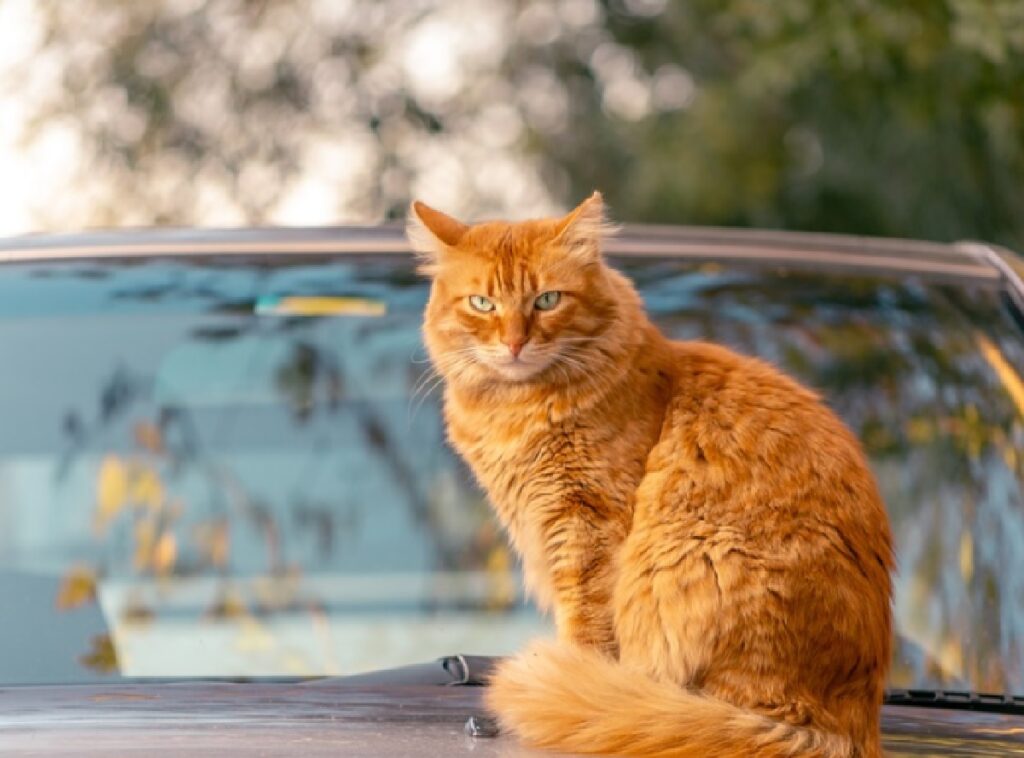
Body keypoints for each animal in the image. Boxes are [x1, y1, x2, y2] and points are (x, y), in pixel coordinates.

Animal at [407, 195, 897, 758]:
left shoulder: (586, 522)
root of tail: (848, 728)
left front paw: (573, 677)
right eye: (482, 304)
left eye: (547, 300)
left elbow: (586, 627)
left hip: (695, 556)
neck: (518, 409)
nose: (514, 344)